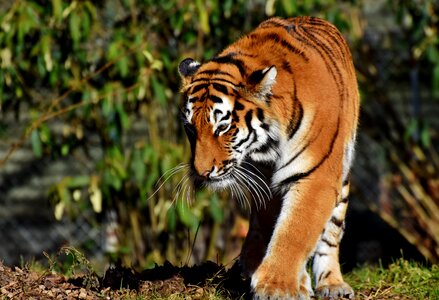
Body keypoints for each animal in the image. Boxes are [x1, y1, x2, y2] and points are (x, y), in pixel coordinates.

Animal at [177, 17, 360, 300]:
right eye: (190, 129)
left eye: (222, 127)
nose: (201, 172)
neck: (265, 148)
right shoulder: (262, 183)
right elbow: (269, 227)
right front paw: (275, 278)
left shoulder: (316, 177)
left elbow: (294, 232)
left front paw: (275, 286)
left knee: (330, 235)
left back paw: (332, 284)